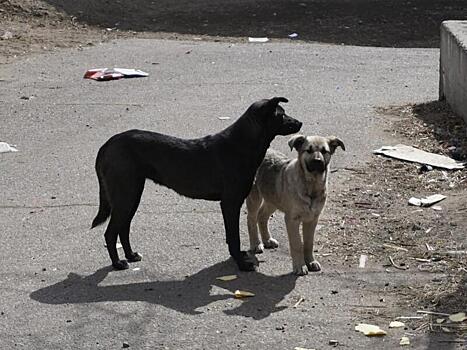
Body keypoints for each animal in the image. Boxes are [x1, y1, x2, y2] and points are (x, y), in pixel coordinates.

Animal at [91, 97, 304, 272]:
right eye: (281, 115)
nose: (300, 122)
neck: (241, 144)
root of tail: (107, 144)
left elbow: (231, 237)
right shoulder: (230, 203)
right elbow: (233, 238)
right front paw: (241, 264)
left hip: (131, 195)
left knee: (123, 228)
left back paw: (131, 255)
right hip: (126, 196)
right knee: (110, 232)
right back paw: (118, 263)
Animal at [247, 135, 346, 274]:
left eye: (324, 151)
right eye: (308, 150)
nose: (317, 161)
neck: (311, 186)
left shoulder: (312, 219)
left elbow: (309, 243)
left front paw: (310, 262)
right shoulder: (292, 220)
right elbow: (297, 244)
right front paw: (300, 266)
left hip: (273, 199)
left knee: (262, 216)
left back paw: (267, 240)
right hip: (255, 198)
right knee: (251, 219)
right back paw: (256, 244)